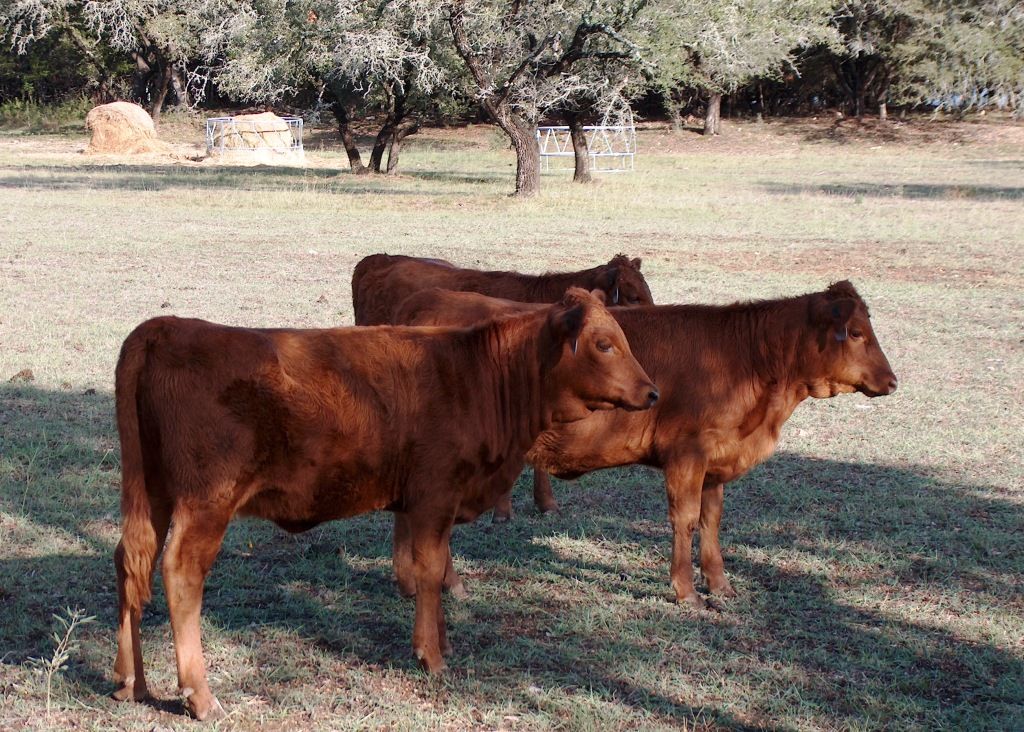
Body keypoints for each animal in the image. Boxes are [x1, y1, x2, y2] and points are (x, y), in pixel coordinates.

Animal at [111, 289, 658, 720]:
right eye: (604, 343)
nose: (652, 392)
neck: (476, 376)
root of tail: (165, 327)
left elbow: (434, 568)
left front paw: (441, 639)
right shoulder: (435, 494)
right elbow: (430, 570)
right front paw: (431, 655)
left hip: (151, 493)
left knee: (130, 562)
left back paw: (130, 682)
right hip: (206, 501)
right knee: (181, 573)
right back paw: (200, 696)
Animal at [389, 281, 898, 608]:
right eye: (856, 332)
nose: (892, 381)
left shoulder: (716, 461)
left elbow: (711, 520)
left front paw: (719, 583)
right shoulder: (687, 455)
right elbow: (685, 520)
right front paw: (687, 591)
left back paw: (413, 584)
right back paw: (449, 584)